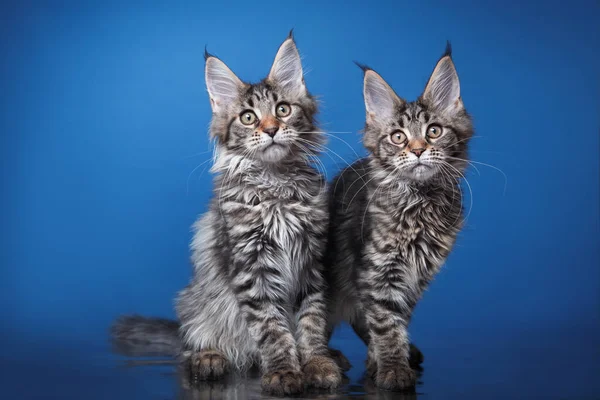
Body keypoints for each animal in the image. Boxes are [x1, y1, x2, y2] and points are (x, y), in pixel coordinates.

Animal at [110, 34, 340, 396]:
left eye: (283, 110)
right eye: (248, 117)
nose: (271, 129)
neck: (276, 186)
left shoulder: (312, 263)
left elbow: (310, 322)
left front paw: (318, 364)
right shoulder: (252, 267)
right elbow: (273, 328)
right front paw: (284, 372)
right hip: (195, 303)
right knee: (192, 345)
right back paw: (208, 358)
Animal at [326, 44, 476, 390]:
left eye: (433, 131)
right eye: (398, 137)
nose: (419, 150)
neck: (419, 202)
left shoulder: (415, 276)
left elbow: (395, 320)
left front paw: (383, 362)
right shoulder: (379, 271)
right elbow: (385, 322)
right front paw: (393, 369)